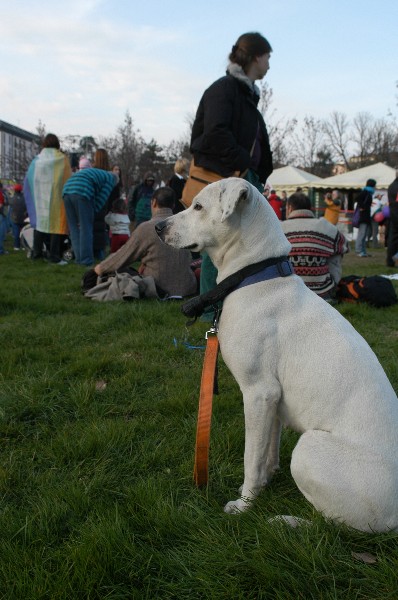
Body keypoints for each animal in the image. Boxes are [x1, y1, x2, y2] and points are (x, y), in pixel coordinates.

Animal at [155, 178, 398, 536]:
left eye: (198, 206)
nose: (158, 226)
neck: (255, 275)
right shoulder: (273, 402)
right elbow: (266, 451)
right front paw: (265, 483)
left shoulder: (258, 393)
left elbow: (250, 457)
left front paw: (244, 505)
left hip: (309, 449)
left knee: (334, 526)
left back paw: (287, 522)